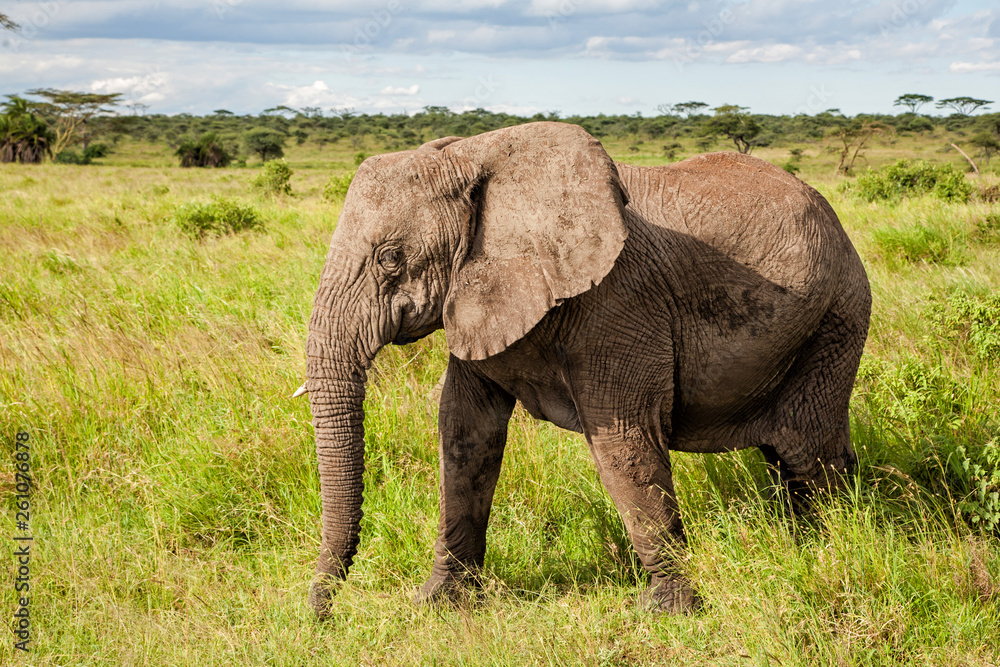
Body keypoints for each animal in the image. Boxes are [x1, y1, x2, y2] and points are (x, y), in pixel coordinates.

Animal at [298, 121, 871, 616]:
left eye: (390, 258)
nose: (319, 616)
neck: (475, 156)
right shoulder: (476, 299)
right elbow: (464, 434)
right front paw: (441, 603)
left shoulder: (618, 300)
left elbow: (622, 444)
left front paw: (669, 611)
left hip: (837, 317)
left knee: (808, 453)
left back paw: (827, 548)